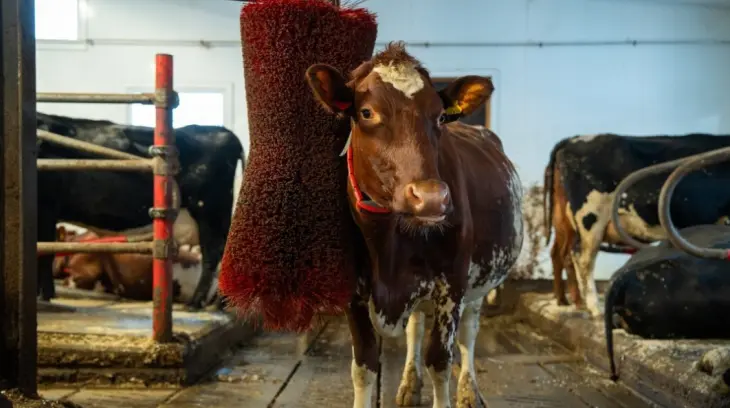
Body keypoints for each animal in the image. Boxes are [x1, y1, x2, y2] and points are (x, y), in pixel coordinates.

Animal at [36, 111, 245, 310]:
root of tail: (223, 132)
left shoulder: (46, 208)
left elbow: (44, 252)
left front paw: (43, 297)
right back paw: (218, 304)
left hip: (210, 213)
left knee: (212, 254)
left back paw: (197, 303)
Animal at [304, 41, 520, 408]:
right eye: (367, 113)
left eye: (440, 116)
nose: (431, 197)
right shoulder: (351, 289)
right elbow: (363, 365)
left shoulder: (453, 283)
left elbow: (441, 361)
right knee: (415, 328)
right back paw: (408, 383)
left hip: (479, 281)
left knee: (468, 336)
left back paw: (468, 390)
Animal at [544, 132, 728, 318]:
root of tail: (572, 139)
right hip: (590, 218)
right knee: (582, 258)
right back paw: (595, 308)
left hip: (565, 221)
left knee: (560, 254)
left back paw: (567, 301)